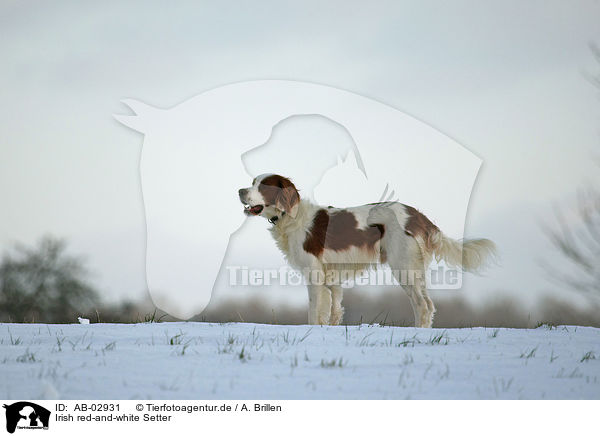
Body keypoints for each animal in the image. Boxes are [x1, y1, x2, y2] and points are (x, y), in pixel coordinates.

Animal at [237, 174, 494, 328]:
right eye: (252, 181)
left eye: (262, 186)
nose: (239, 190)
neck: (292, 217)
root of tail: (417, 216)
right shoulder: (332, 279)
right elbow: (333, 311)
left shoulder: (314, 274)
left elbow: (314, 312)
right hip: (414, 269)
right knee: (428, 304)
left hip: (404, 267)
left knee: (422, 305)